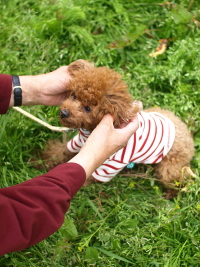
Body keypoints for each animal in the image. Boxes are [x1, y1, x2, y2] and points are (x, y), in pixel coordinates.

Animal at [38, 60, 194, 199]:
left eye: (88, 108)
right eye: (74, 95)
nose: (64, 113)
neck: (89, 132)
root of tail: (185, 131)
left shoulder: (112, 163)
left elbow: (90, 174)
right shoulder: (78, 142)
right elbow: (62, 150)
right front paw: (46, 160)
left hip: (171, 164)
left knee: (179, 179)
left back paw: (171, 194)